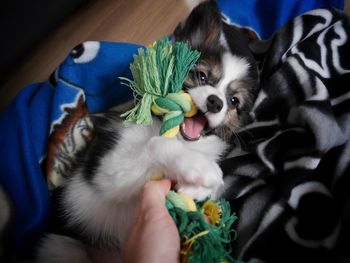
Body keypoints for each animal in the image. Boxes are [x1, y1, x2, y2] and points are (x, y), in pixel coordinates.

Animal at [37, 1, 258, 262]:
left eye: (233, 101)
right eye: (201, 76)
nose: (215, 102)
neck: (182, 139)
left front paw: (197, 187)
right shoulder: (108, 170)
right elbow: (156, 144)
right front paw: (199, 167)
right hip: (61, 246)